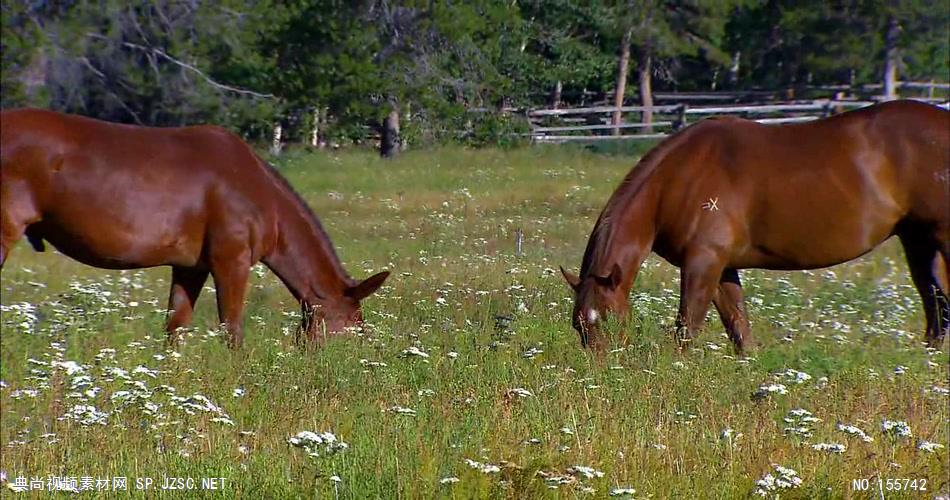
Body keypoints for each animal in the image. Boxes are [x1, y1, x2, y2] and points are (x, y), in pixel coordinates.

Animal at [564, 99, 950, 352]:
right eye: (578, 325)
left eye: (610, 319)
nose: (604, 370)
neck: (679, 178)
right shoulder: (722, 267)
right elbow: (739, 328)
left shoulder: (703, 263)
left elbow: (687, 327)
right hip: (917, 239)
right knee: (935, 300)